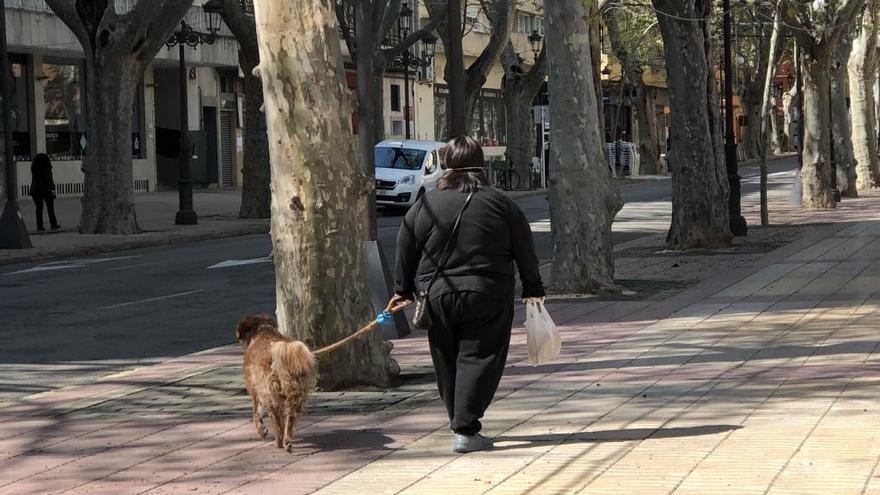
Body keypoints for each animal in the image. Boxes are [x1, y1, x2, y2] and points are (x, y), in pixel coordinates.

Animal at [234, 316, 316, 452]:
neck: (262, 331)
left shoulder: (255, 392)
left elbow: (256, 413)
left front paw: (262, 431)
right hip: (295, 393)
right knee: (289, 418)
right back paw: (287, 442)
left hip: (271, 395)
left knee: (277, 424)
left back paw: (278, 443)